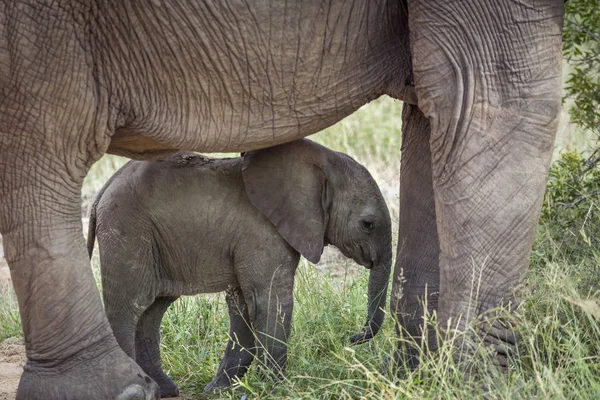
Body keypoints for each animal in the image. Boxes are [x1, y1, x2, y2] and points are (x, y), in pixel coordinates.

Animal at [86, 138, 392, 396]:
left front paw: (219, 390)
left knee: (152, 310)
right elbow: (270, 301)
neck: (320, 165)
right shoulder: (261, 235)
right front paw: (275, 388)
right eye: (367, 224)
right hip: (127, 233)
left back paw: (165, 390)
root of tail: (100, 193)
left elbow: (244, 305)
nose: (352, 338)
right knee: (128, 307)